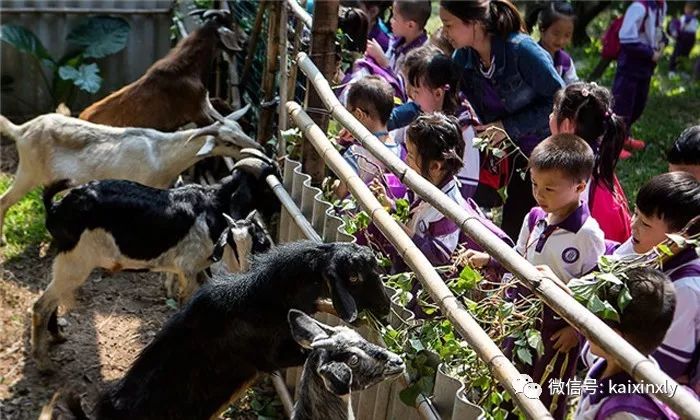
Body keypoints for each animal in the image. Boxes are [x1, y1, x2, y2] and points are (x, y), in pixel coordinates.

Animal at [31, 156, 278, 372]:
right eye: (266, 188)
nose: (275, 215)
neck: (213, 205)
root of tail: (55, 208)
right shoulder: (188, 268)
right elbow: (185, 303)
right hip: (75, 262)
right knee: (41, 305)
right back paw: (44, 365)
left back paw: (58, 337)